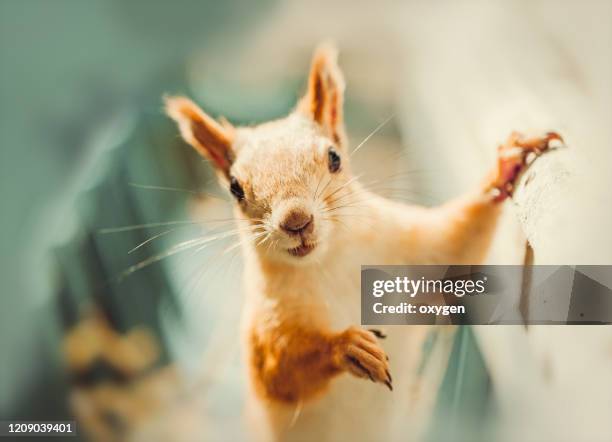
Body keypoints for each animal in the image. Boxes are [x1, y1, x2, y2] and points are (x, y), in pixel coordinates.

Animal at [165, 43, 560, 440]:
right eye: (235, 188)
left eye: (334, 158)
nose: (297, 221)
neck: (332, 261)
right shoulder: (267, 324)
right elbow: (280, 372)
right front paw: (347, 346)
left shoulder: (411, 249)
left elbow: (456, 243)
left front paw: (505, 165)